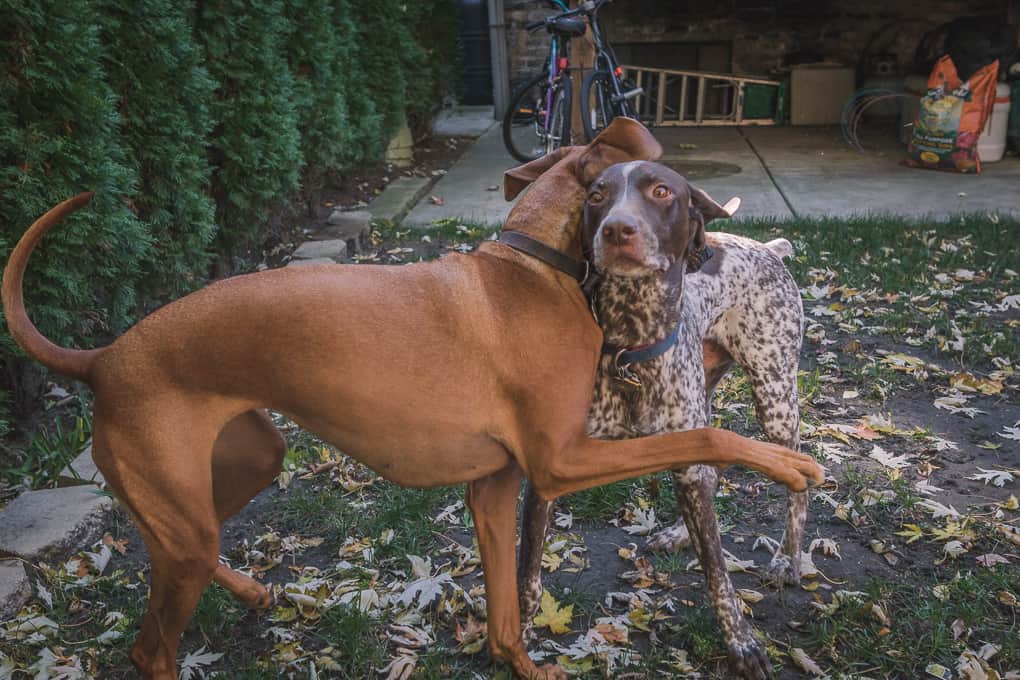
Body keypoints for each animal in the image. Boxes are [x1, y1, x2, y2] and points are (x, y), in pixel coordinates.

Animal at [0, 118, 820, 680]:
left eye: (658, 191)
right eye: (601, 194)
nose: (620, 233)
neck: (529, 266)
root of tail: (104, 358)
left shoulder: (499, 488)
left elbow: (508, 611)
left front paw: (520, 662)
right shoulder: (560, 462)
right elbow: (703, 437)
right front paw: (787, 463)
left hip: (239, 470)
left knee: (167, 549)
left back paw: (252, 592)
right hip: (190, 506)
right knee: (149, 648)